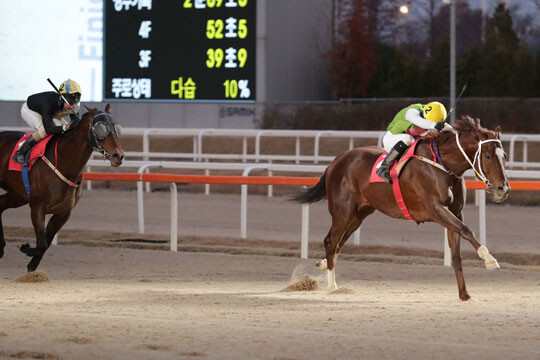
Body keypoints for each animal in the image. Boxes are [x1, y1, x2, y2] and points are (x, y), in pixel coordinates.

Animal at [0, 103, 123, 270]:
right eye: (101, 128)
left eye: (116, 127)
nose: (119, 155)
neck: (65, 163)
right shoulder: (37, 207)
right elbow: (41, 243)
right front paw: (24, 247)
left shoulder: (63, 212)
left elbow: (45, 244)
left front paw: (31, 265)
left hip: (19, 195)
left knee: (1, 204)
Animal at [294, 116, 508, 300]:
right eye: (487, 156)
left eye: (504, 156)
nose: (503, 189)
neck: (442, 164)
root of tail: (335, 162)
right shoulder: (435, 209)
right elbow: (467, 229)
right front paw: (489, 259)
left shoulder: (455, 212)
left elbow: (456, 253)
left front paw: (465, 295)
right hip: (342, 211)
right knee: (331, 241)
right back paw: (332, 286)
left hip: (359, 214)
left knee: (339, 243)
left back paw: (323, 265)